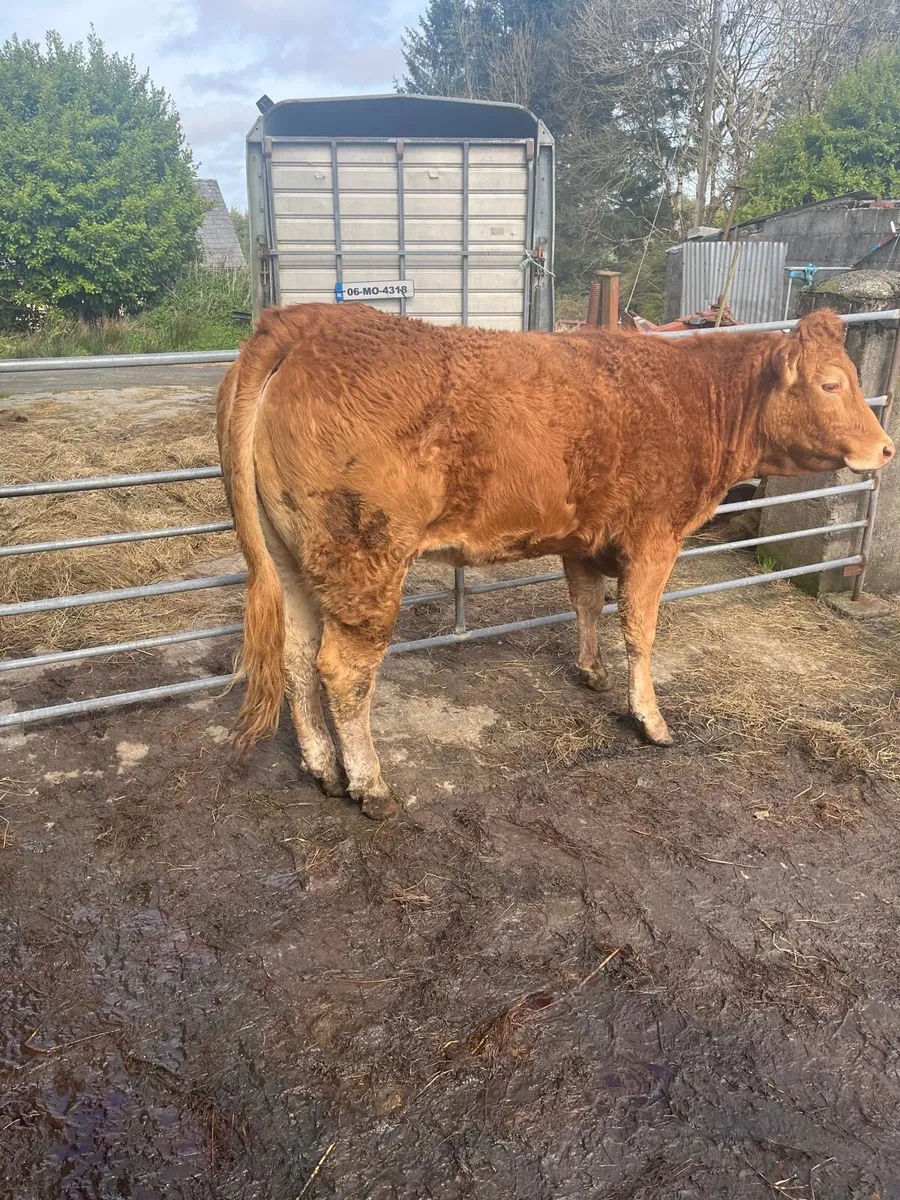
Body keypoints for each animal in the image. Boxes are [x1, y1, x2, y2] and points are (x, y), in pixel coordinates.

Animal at [216, 303, 893, 818]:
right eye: (831, 383)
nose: (887, 448)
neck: (695, 398)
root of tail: (304, 320)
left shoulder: (585, 540)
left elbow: (587, 604)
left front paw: (591, 671)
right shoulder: (655, 538)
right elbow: (640, 629)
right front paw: (650, 718)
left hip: (294, 560)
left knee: (296, 655)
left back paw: (323, 767)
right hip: (366, 557)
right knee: (342, 669)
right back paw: (370, 785)